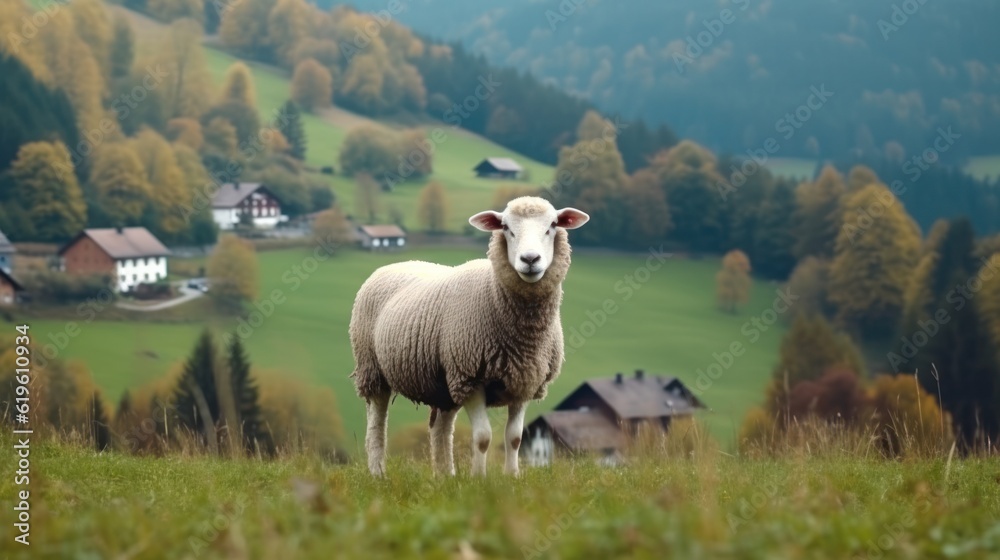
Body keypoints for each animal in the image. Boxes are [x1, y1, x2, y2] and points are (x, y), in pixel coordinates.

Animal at [349, 196, 589, 477]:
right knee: (376, 426)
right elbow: (483, 437)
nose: (530, 259)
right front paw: (479, 478)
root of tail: (396, 263)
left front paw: (512, 476)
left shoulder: (525, 381)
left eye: (552, 225)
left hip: (443, 383)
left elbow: (515, 438)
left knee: (440, 429)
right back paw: (378, 474)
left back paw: (445, 476)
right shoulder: (470, 377)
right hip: (373, 369)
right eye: (506, 227)